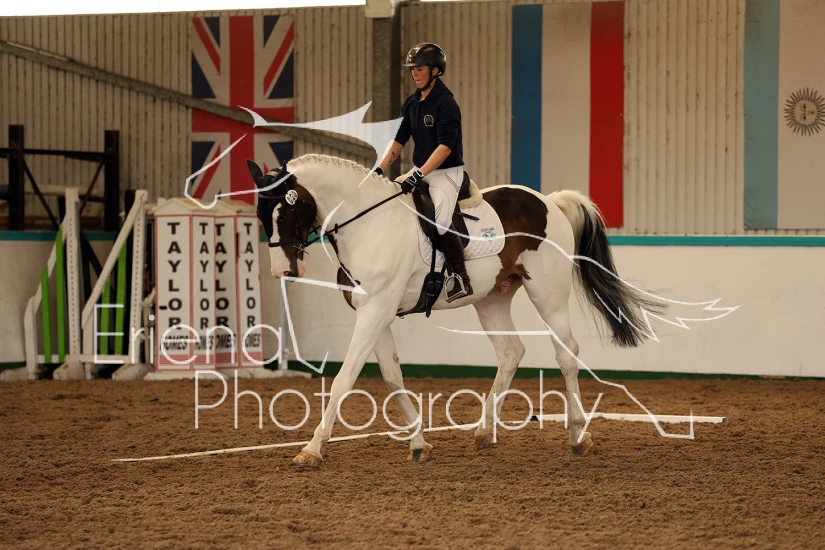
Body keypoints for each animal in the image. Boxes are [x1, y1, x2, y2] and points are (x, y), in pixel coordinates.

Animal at [246, 153, 662, 468]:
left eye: (284, 213)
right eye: (261, 217)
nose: (282, 272)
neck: (367, 224)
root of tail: (550, 201)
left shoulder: (374, 312)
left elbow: (344, 379)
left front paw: (312, 449)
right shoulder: (375, 313)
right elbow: (393, 378)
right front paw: (419, 444)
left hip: (548, 294)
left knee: (566, 353)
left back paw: (577, 435)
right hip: (491, 299)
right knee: (511, 353)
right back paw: (484, 433)